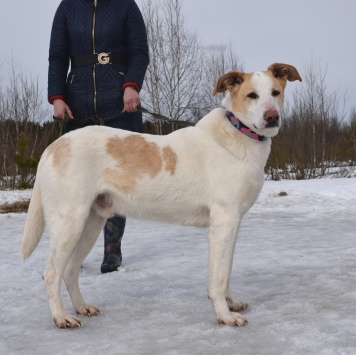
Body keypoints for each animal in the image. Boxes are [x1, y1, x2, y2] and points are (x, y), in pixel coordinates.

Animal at [21, 63, 300, 328]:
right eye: (252, 95)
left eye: (275, 92)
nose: (272, 117)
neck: (240, 133)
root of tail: (53, 147)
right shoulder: (224, 220)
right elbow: (219, 277)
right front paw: (225, 315)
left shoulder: (232, 224)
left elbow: (226, 269)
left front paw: (230, 303)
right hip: (69, 223)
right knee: (51, 273)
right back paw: (61, 318)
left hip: (91, 223)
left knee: (69, 271)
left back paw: (81, 307)